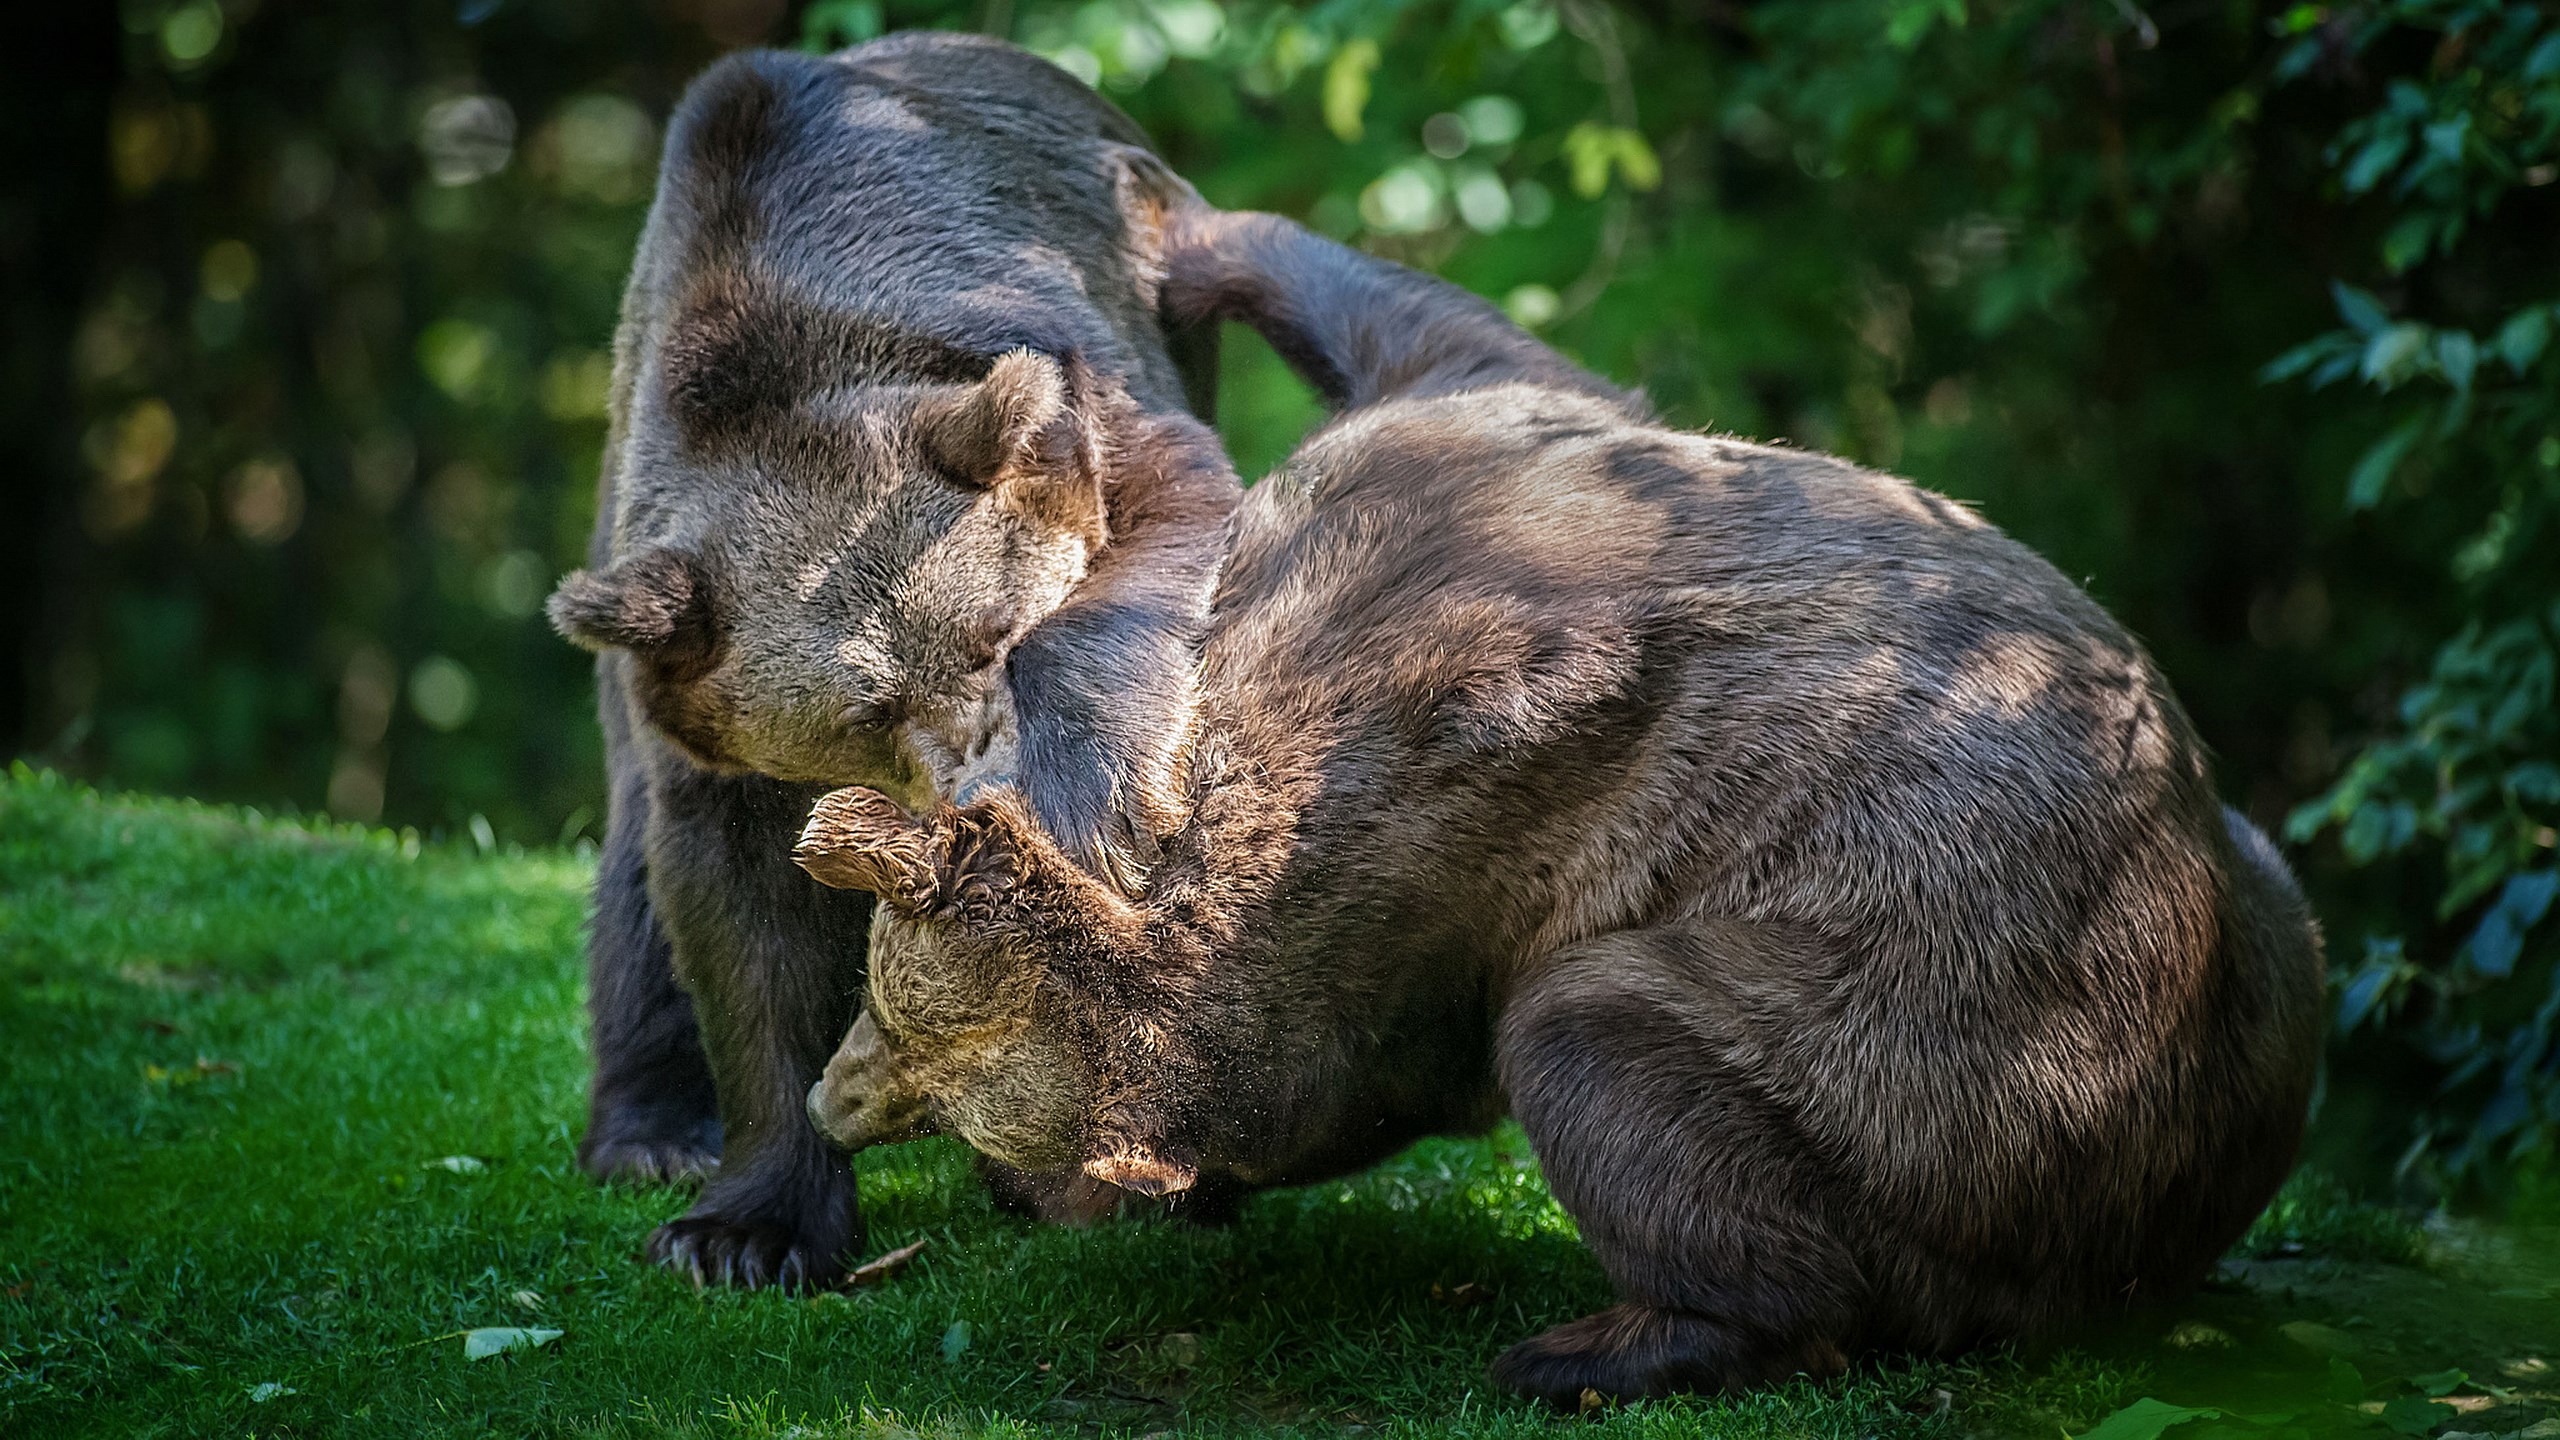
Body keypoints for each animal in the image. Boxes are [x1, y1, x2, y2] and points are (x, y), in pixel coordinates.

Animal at [544, 34, 1236, 1289]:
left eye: (998, 637)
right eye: (865, 710)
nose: (977, 791)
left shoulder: (1078, 379)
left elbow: (1162, 518)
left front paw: (1096, 801)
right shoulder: (698, 696)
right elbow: (738, 916)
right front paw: (746, 1228)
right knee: (628, 877)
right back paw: (650, 1134)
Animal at [790, 202, 2328, 1399]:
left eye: (923, 1051)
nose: (832, 1099)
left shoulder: (1456, 758)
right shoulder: (1485, 461)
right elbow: (1467, 342)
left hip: (1952, 1020)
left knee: (1615, 1040)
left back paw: (1599, 1346)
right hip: (2252, 922)